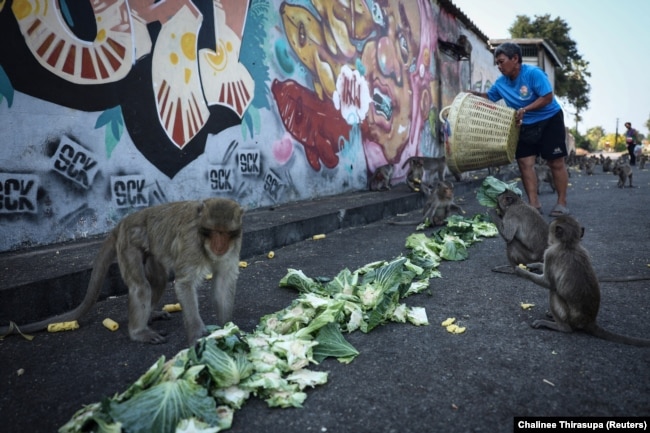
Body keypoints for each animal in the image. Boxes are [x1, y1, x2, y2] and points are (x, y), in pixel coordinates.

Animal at [0, 198, 243, 344]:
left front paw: (227, 329)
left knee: (158, 281)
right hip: (129, 246)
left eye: (225, 233)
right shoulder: (192, 244)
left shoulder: (233, 247)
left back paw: (151, 315)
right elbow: (184, 284)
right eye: (213, 231)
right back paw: (138, 332)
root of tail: (124, 221)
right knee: (141, 287)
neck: (204, 243)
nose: (219, 245)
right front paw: (196, 336)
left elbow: (223, 282)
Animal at [512, 216, 648, 348]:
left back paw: (561, 327)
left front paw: (521, 272)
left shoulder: (550, 254)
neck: (569, 245)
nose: (548, 239)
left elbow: (548, 283)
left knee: (554, 291)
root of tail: (589, 321)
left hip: (571, 318)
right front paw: (534, 265)